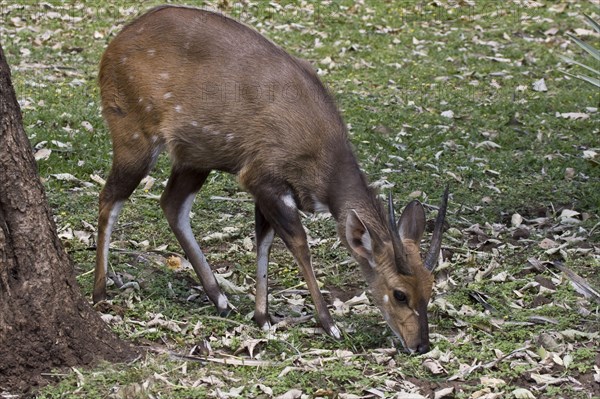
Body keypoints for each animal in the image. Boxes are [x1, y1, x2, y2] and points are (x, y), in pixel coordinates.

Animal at [95, 5, 450, 356]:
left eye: (430, 287)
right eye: (400, 293)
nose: (421, 345)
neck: (322, 160)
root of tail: (113, 46)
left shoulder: (264, 187)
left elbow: (264, 241)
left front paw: (262, 317)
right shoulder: (263, 177)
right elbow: (298, 243)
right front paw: (329, 324)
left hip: (195, 156)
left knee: (171, 203)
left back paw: (221, 300)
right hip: (134, 134)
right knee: (110, 198)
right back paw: (100, 292)